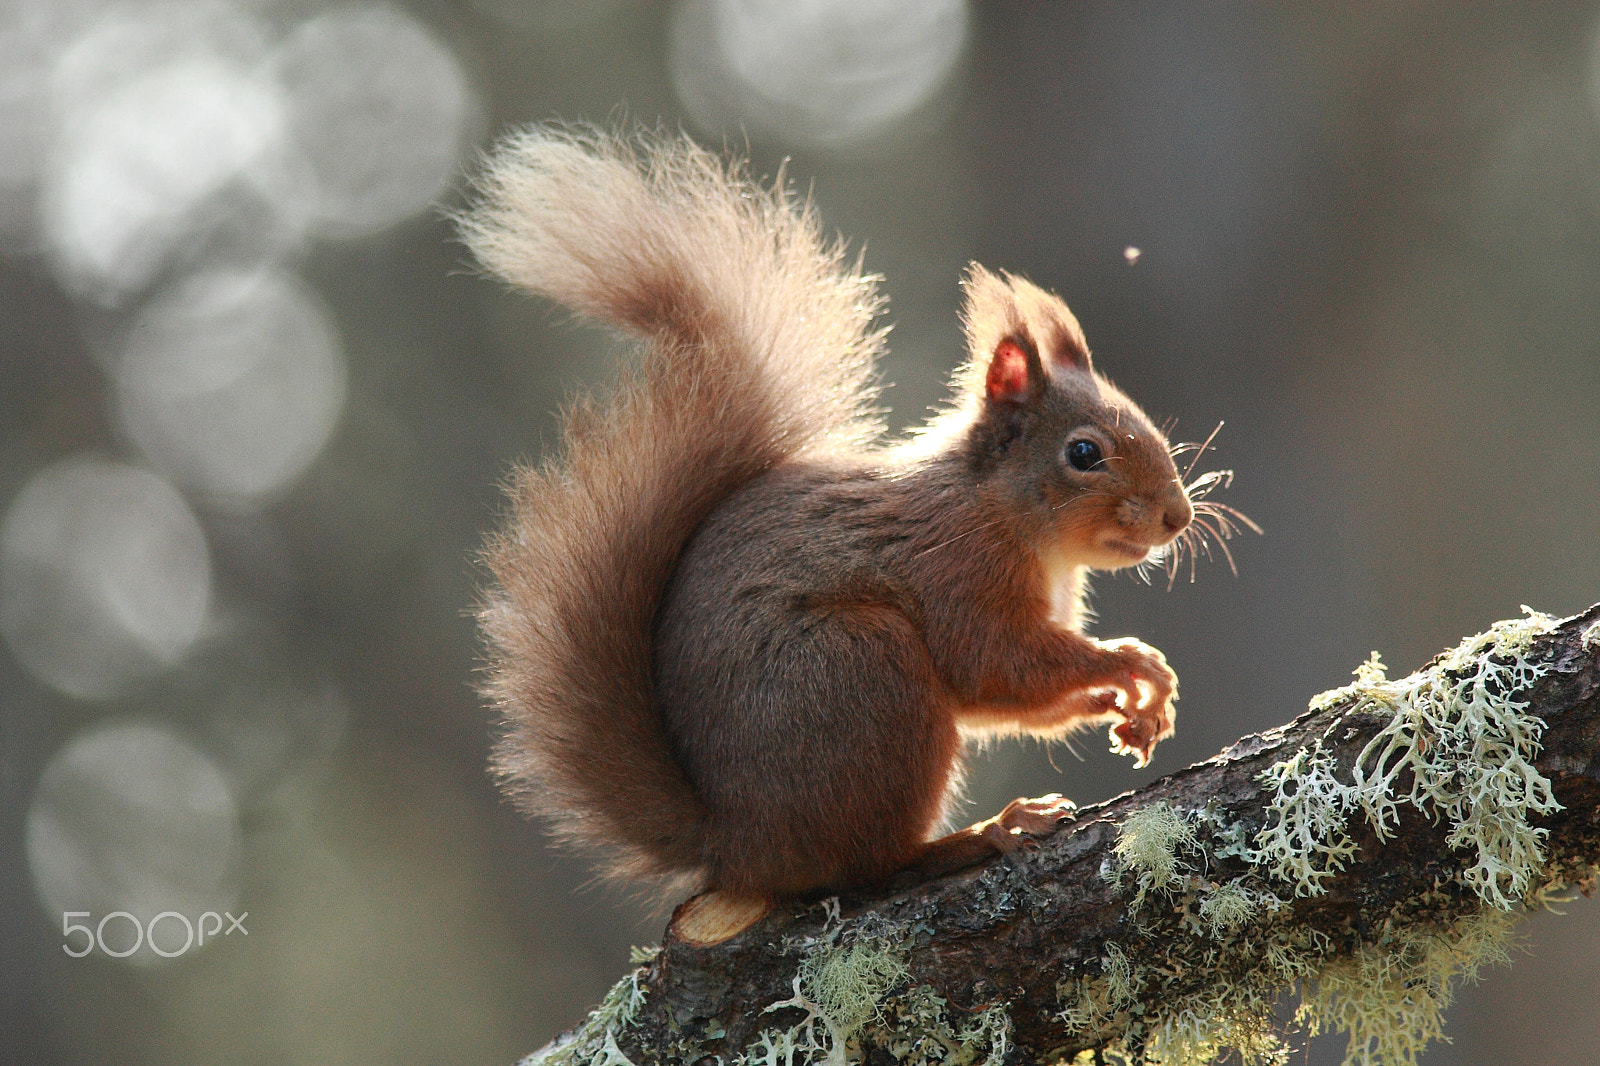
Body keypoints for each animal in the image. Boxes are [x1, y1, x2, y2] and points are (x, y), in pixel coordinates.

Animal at [461, 127, 1229, 927]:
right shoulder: (954, 570)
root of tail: (738, 845)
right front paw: (1131, 665)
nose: (1179, 517)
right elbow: (996, 664)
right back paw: (986, 832)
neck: (1003, 517)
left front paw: (1133, 705)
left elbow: (1007, 698)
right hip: (863, 673)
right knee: (875, 862)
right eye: (1084, 453)